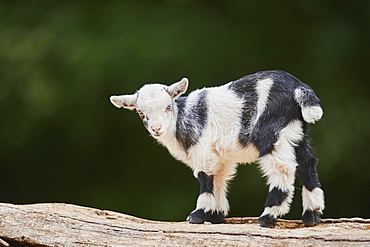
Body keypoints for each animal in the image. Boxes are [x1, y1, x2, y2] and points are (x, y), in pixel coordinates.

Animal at [110, 69, 324, 228]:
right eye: (140, 112)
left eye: (168, 107)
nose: (157, 129)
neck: (183, 118)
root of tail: (298, 87)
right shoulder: (221, 156)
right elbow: (219, 179)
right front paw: (215, 215)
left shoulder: (203, 150)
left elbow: (205, 178)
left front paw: (198, 214)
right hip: (297, 130)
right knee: (307, 163)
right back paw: (312, 214)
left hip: (270, 133)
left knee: (283, 169)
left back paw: (269, 216)